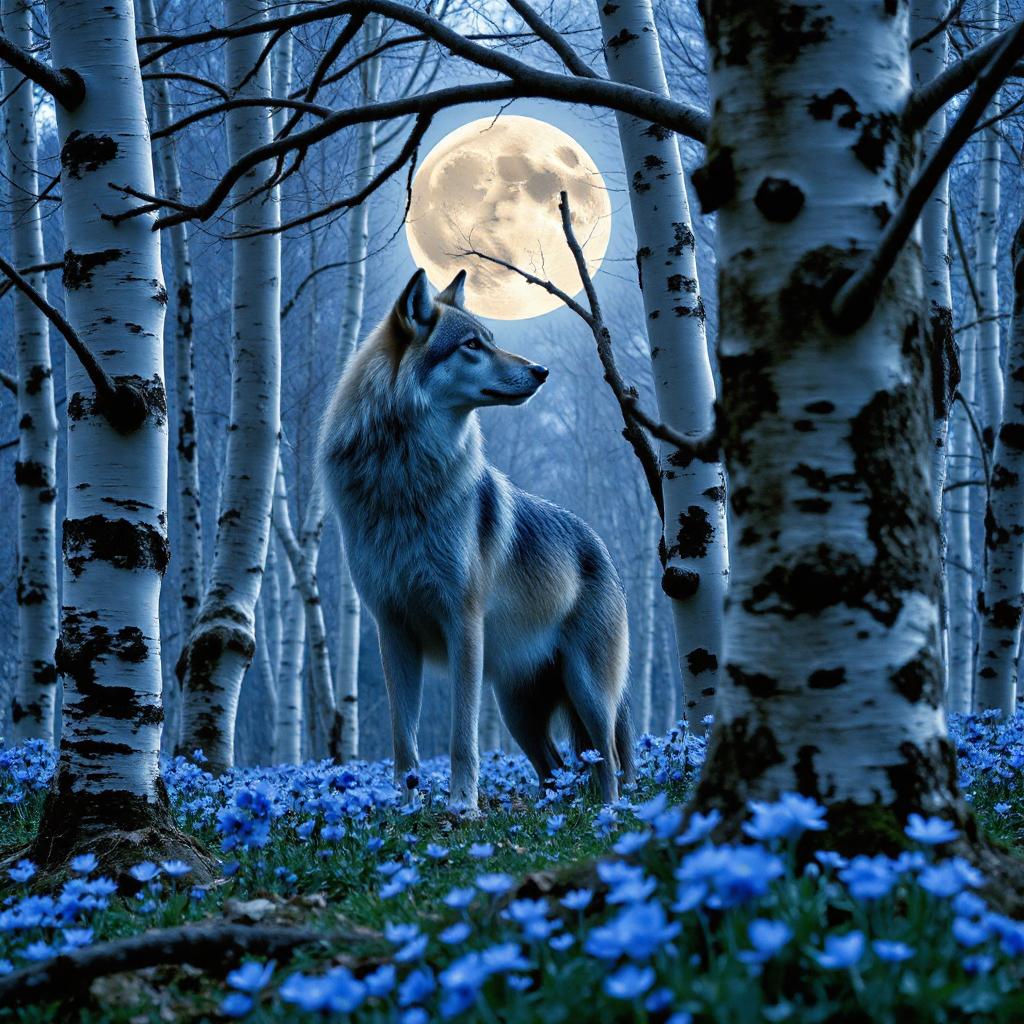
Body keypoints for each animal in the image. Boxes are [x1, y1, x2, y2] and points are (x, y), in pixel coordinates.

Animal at [319, 267, 634, 809]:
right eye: (472, 345)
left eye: (491, 338)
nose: (541, 371)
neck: (402, 483)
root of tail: (599, 545)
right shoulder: (391, 630)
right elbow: (404, 740)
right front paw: (406, 805)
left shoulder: (463, 625)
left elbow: (461, 738)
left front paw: (462, 806)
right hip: (518, 711)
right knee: (556, 767)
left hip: (588, 691)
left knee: (608, 760)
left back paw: (613, 814)